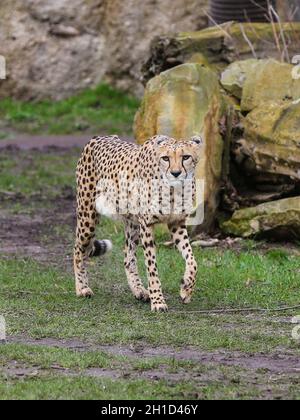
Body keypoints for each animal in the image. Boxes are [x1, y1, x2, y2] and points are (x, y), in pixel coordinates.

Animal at [74, 135, 203, 312]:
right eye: (165, 158)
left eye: (186, 157)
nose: (175, 173)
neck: (174, 189)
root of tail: (97, 138)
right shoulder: (147, 225)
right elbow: (152, 267)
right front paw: (158, 301)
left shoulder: (176, 223)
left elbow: (192, 260)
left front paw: (186, 289)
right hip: (88, 216)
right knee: (77, 249)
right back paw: (82, 288)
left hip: (132, 224)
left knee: (128, 258)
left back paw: (139, 290)